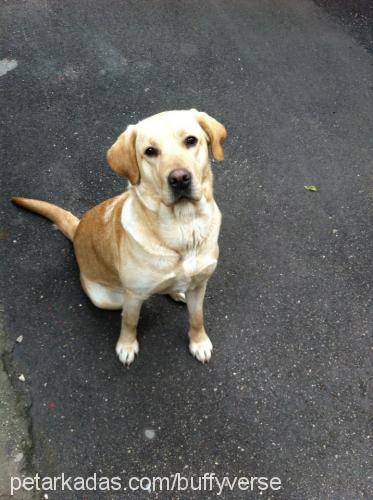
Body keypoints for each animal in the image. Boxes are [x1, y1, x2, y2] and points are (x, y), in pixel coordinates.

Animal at [11, 109, 225, 366]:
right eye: (150, 151)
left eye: (191, 140)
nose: (180, 178)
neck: (184, 228)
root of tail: (77, 227)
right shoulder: (132, 296)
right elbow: (129, 322)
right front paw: (127, 346)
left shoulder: (200, 284)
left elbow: (197, 317)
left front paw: (199, 342)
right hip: (106, 298)